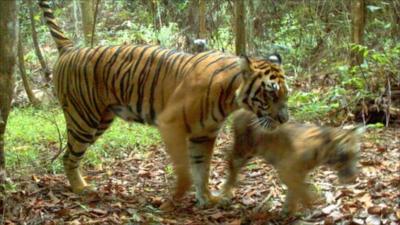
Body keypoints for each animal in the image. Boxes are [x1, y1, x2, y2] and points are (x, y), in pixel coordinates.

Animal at [39, 0, 290, 206]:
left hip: (100, 120)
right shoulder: (172, 125)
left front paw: (207, 198)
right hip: (83, 120)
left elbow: (202, 167)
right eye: (271, 94)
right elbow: (185, 168)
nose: (285, 119)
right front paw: (177, 198)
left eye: (286, 94)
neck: (230, 97)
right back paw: (80, 188)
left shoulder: (204, 135)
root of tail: (71, 49)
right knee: (69, 156)